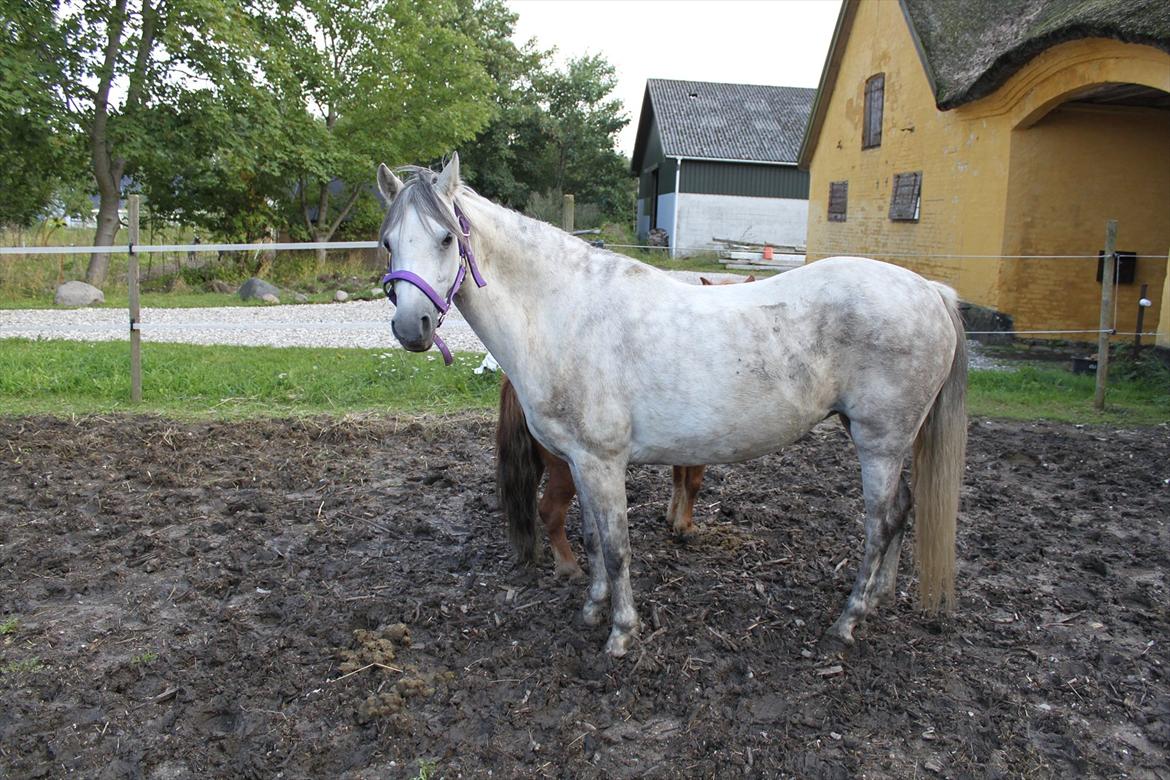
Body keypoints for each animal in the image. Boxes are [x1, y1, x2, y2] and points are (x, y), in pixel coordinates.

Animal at [496, 276, 756, 578]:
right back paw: (570, 567)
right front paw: (685, 526)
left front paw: (672, 518)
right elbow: (693, 483)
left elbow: (678, 479)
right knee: (550, 510)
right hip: (568, 468)